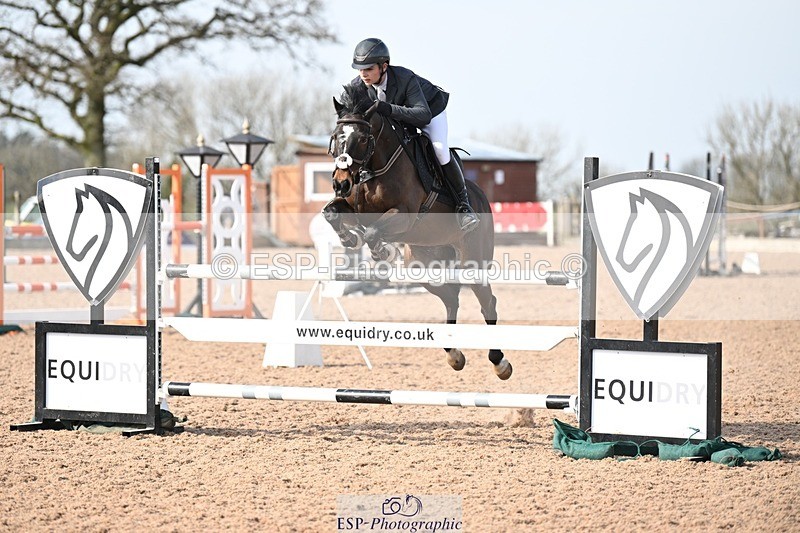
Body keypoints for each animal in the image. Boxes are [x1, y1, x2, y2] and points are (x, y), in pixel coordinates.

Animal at [322, 82, 513, 380]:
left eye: (362, 139)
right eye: (335, 137)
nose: (340, 183)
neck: (374, 168)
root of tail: (481, 197)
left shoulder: (405, 216)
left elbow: (374, 232)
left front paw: (381, 251)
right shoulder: (353, 206)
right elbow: (332, 212)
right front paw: (349, 237)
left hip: (473, 261)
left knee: (487, 302)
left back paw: (499, 361)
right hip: (423, 265)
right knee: (451, 298)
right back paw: (454, 355)